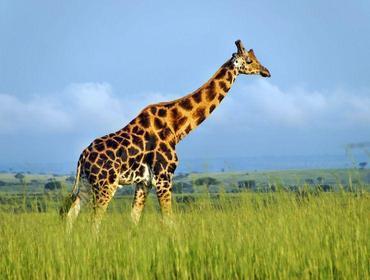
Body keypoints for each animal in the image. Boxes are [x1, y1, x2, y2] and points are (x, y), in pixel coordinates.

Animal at [60, 40, 268, 230]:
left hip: (87, 184)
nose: (266, 71)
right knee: (93, 222)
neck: (176, 128)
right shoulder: (164, 176)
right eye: (249, 60)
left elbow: (134, 219)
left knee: (71, 215)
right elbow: (169, 220)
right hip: (105, 185)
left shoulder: (144, 182)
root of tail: (82, 156)